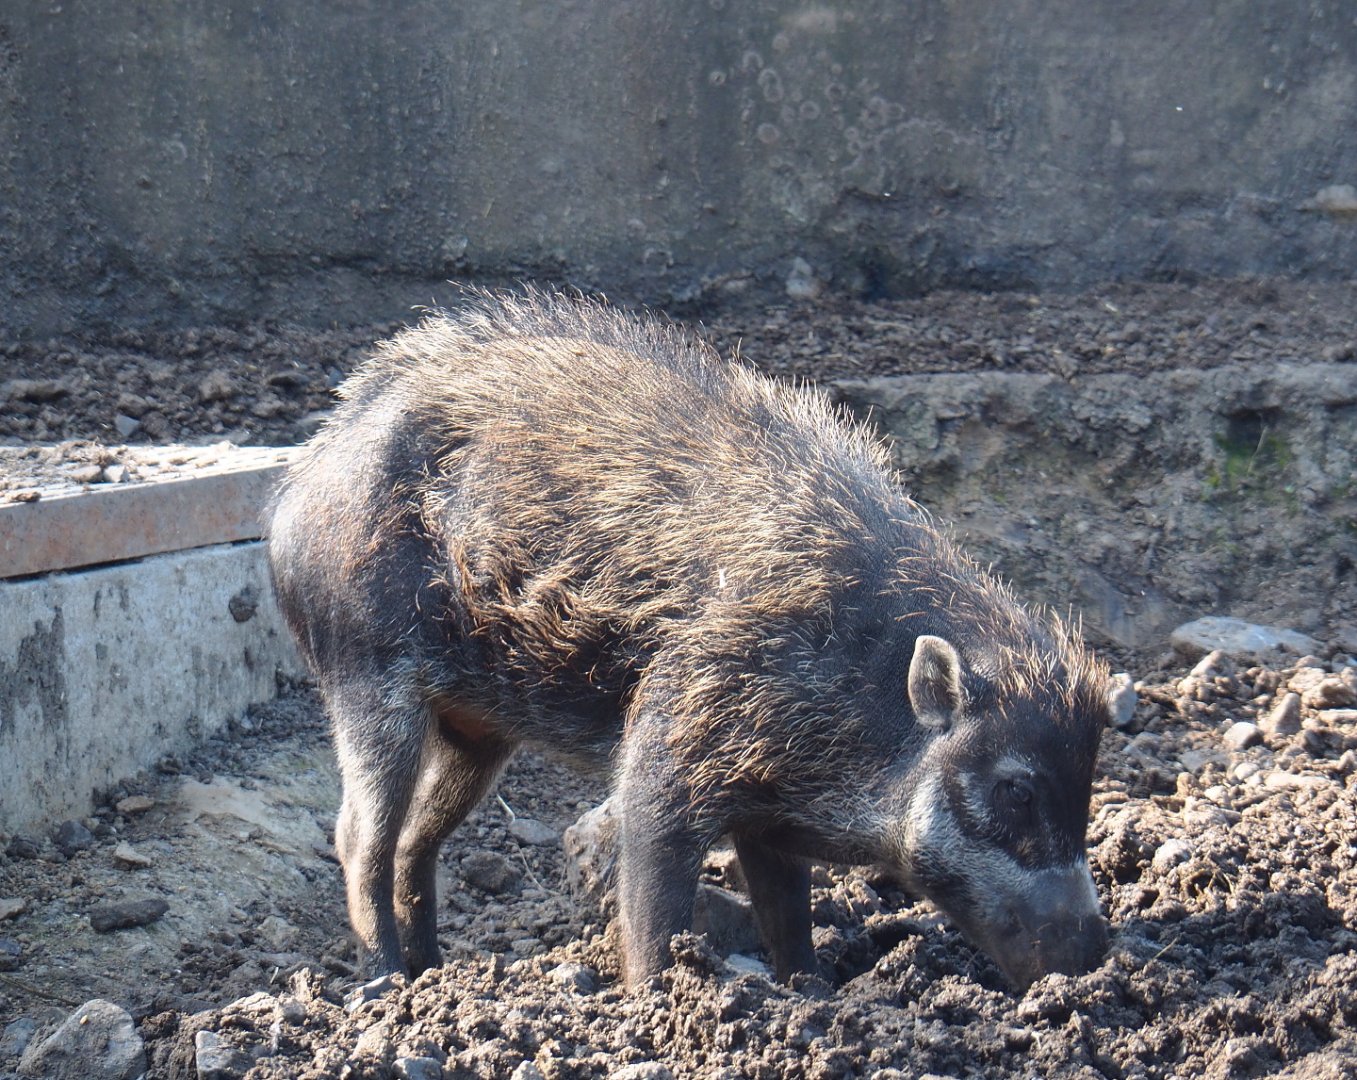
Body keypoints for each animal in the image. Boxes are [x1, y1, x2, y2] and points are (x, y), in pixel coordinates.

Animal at [267, 288, 1111, 991]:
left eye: (1085, 785)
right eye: (1014, 788)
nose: (1095, 953)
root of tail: (304, 475)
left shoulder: (771, 813)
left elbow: (788, 914)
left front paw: (812, 994)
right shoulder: (671, 748)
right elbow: (654, 900)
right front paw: (659, 1001)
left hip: (477, 732)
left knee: (417, 840)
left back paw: (434, 972)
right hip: (365, 674)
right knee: (358, 837)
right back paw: (384, 983)